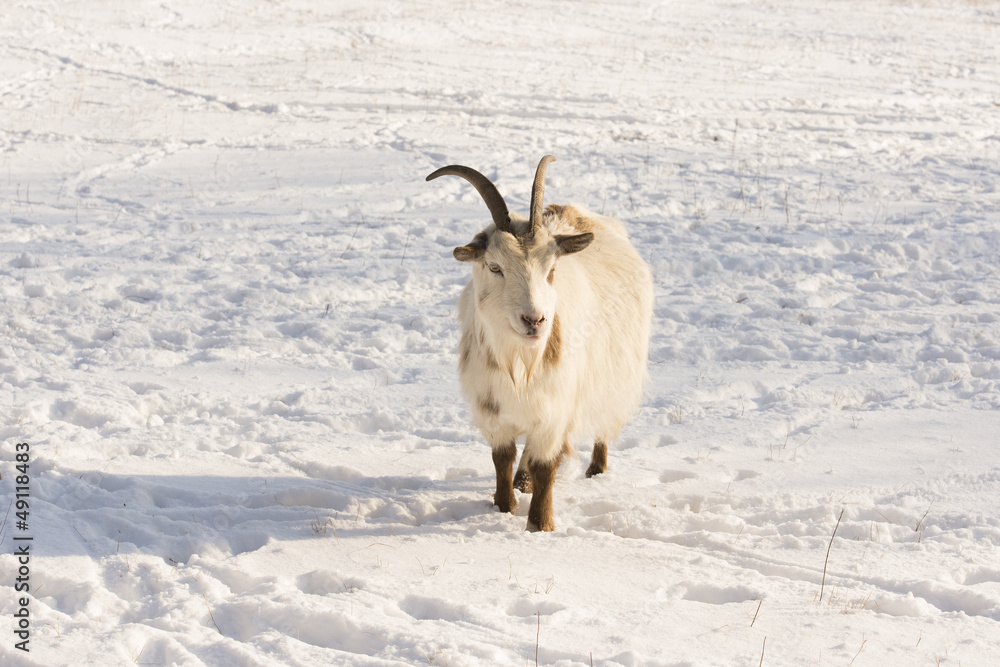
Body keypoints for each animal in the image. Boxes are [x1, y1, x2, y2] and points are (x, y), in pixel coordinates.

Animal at [426, 155, 653, 531]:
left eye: (552, 268)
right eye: (494, 267)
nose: (534, 320)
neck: (519, 359)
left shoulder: (554, 407)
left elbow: (546, 465)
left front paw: (540, 525)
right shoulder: (492, 407)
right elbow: (502, 458)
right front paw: (504, 505)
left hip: (614, 373)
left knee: (603, 423)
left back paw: (596, 469)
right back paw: (523, 481)